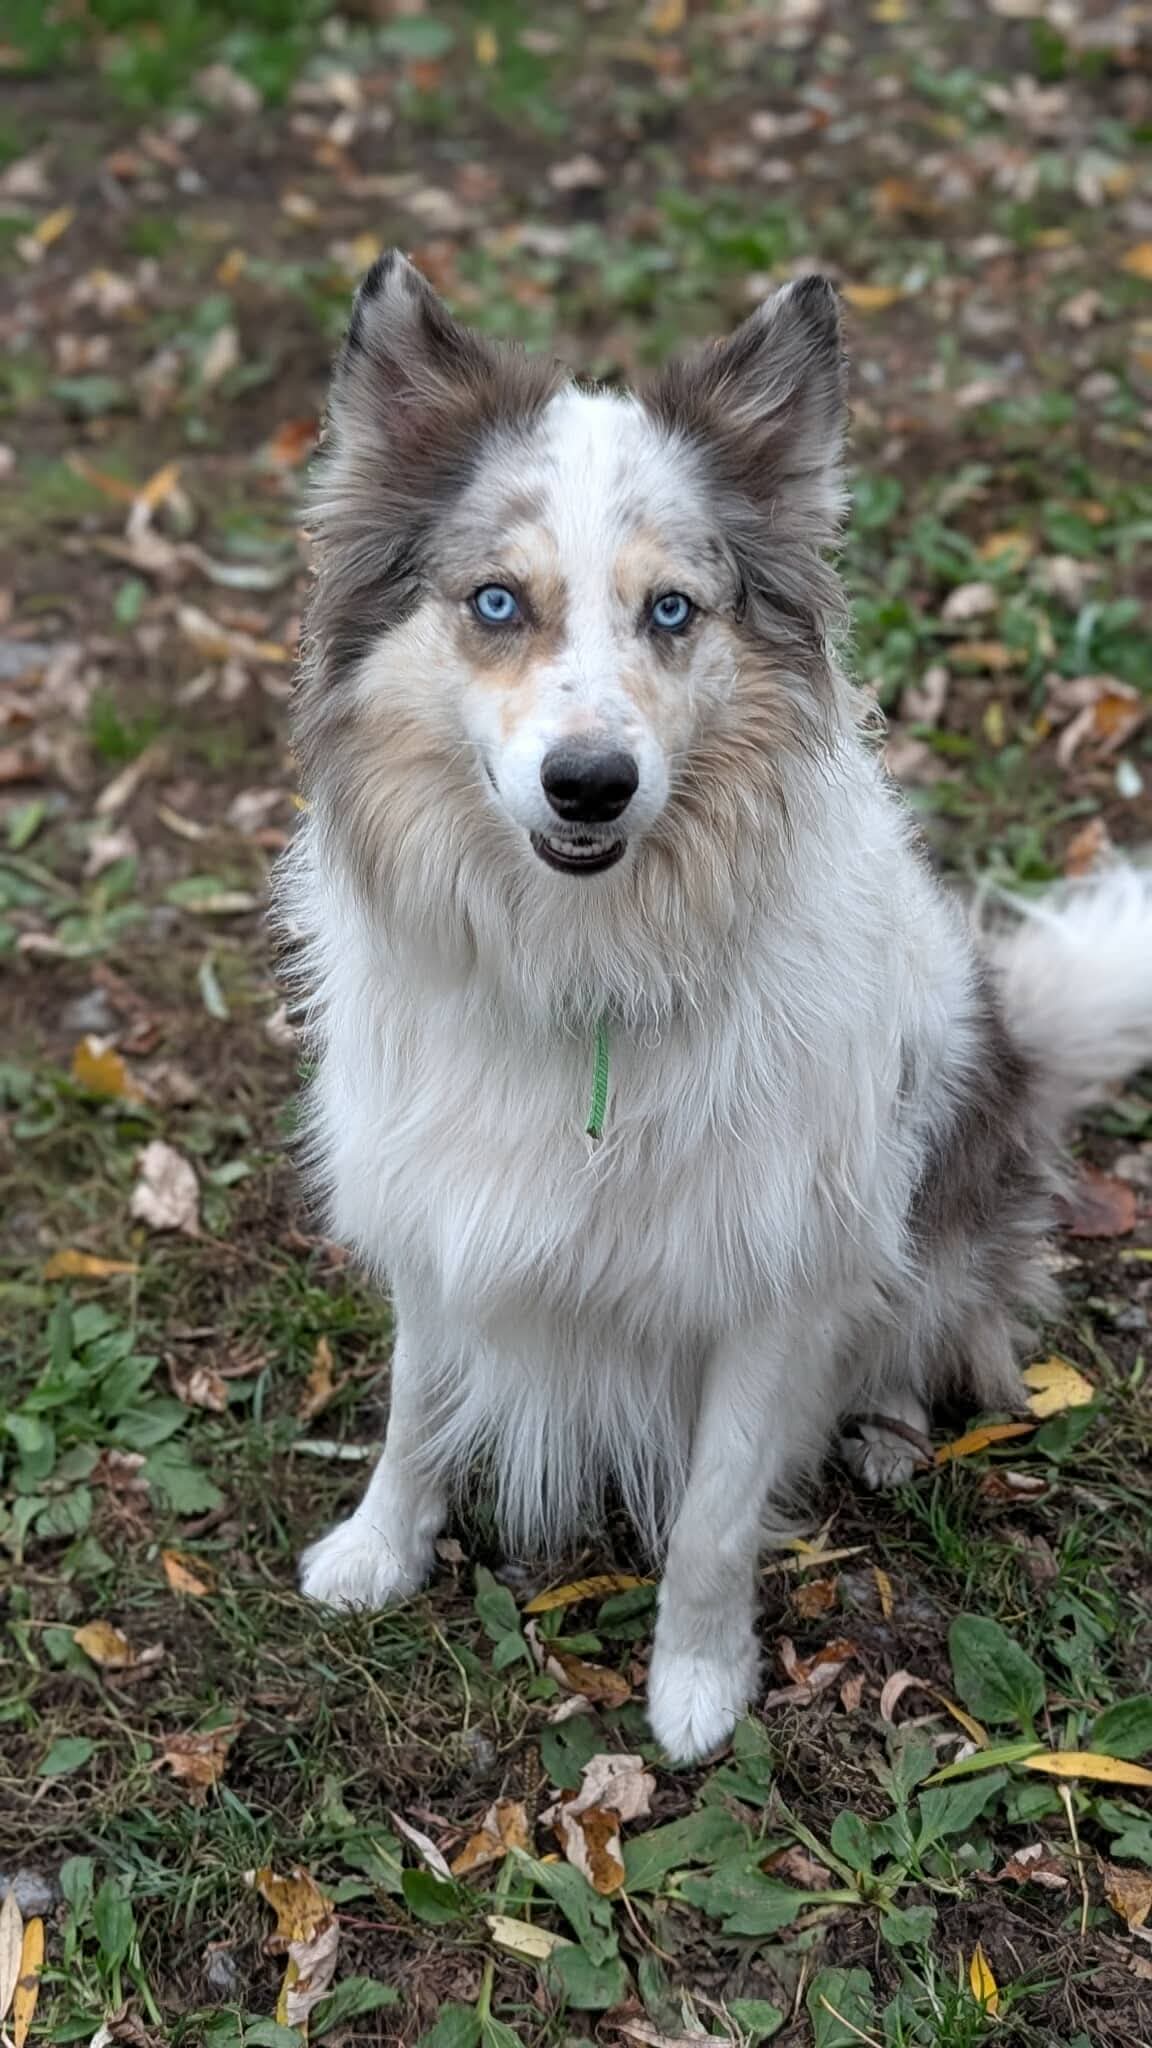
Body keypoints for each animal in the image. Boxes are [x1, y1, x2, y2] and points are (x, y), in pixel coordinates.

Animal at [279, 252, 1152, 1763]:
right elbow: (415, 1408)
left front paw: (696, 1687)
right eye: (496, 603)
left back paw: (885, 1428)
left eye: (672, 611)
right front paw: (379, 1551)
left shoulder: (771, 1274)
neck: (589, 962)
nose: (590, 784)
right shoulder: (439, 1204)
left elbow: (714, 1516)